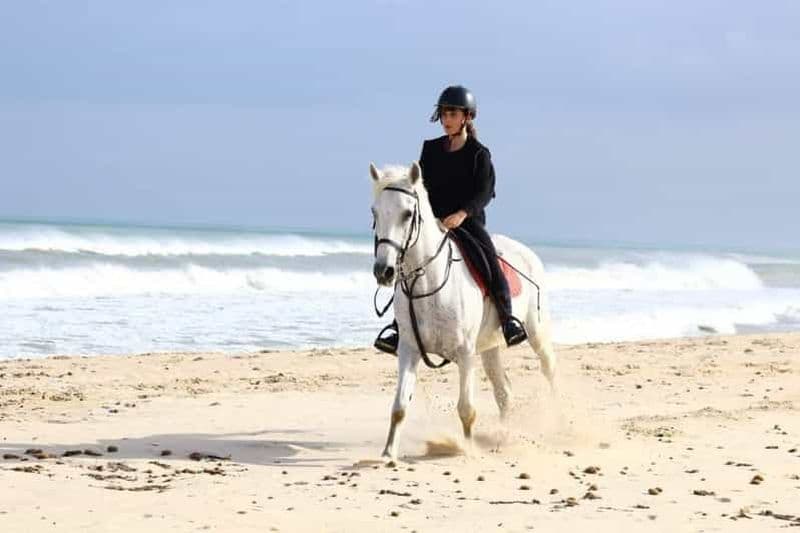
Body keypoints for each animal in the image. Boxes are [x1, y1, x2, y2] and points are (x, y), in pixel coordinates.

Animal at [370, 161, 557, 460]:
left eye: (408, 213)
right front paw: (388, 454)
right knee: (504, 393)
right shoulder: (409, 350)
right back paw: (503, 437)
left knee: (549, 370)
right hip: (491, 348)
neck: (430, 283)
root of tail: (527, 251)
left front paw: (466, 450)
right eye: (374, 212)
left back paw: (560, 421)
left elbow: (467, 409)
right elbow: (399, 407)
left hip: (537, 332)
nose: (383, 272)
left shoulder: (465, 354)